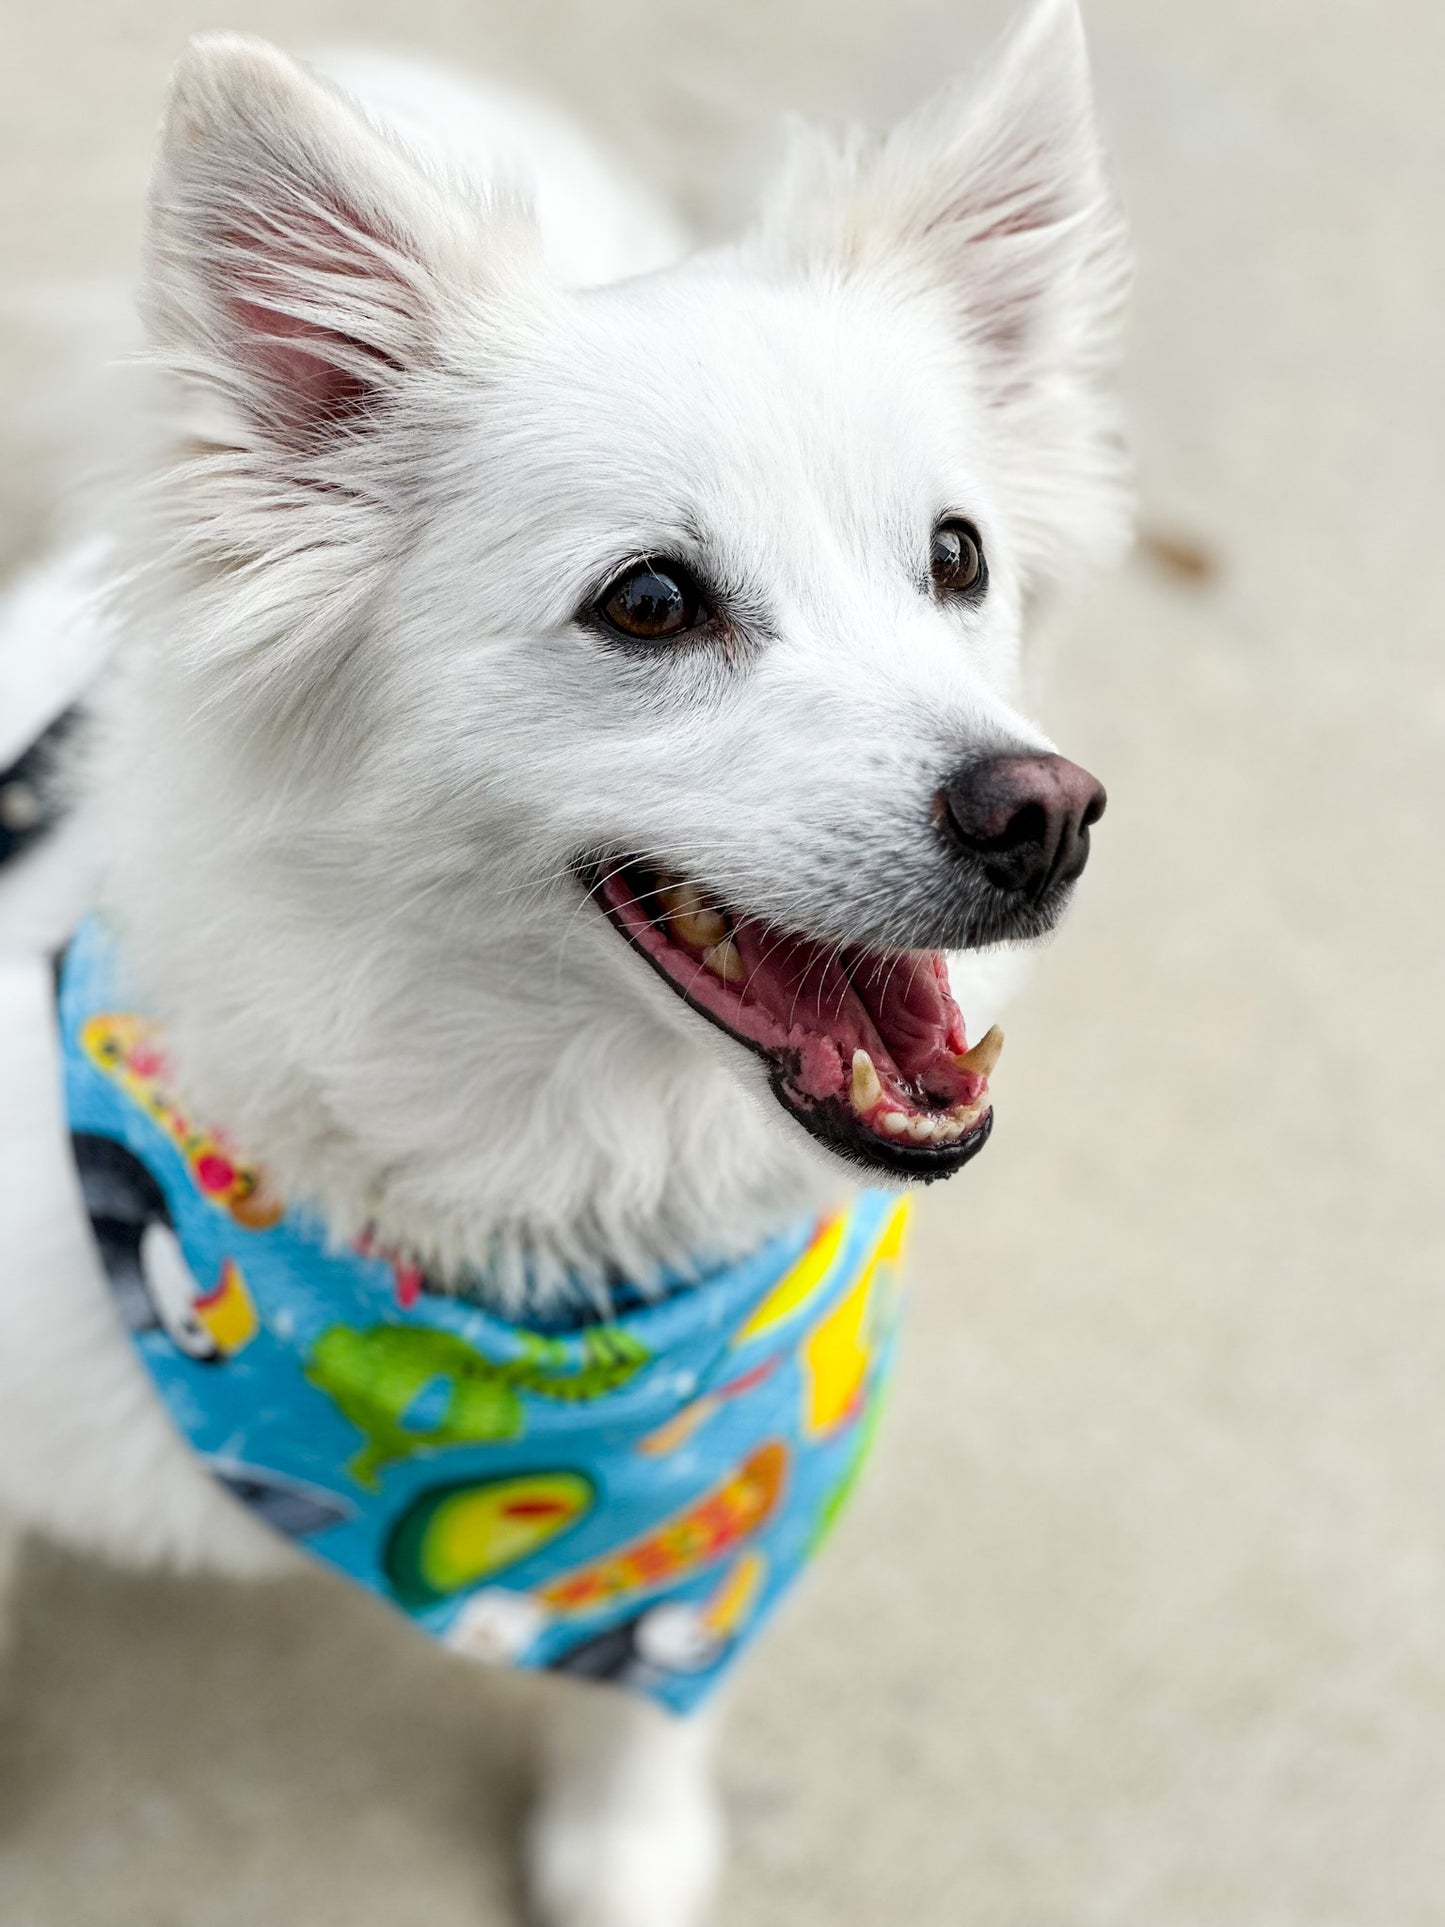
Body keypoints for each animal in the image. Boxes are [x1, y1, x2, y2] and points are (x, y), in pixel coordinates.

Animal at [0, 7, 1132, 1919]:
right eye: (651, 603)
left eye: (957, 557)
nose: (1044, 812)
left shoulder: (714, 1529)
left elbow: (650, 1688)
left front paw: (628, 1843)